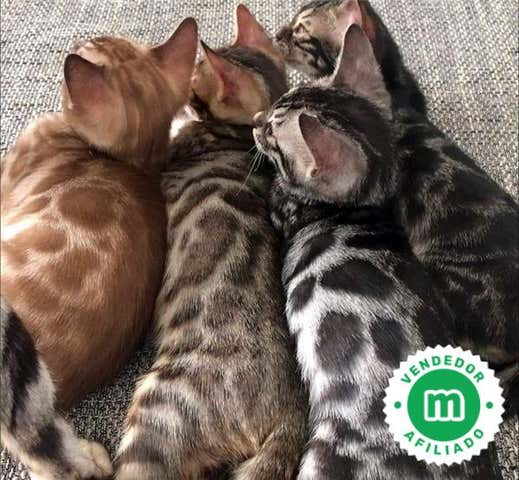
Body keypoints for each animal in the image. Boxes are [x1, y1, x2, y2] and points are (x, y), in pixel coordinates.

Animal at [254, 24, 502, 480]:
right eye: (279, 101)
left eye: (273, 136)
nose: (254, 121)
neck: (363, 204)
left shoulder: (281, 205)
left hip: (326, 456)